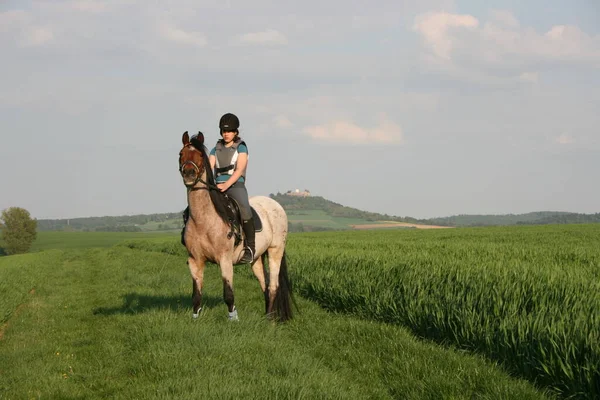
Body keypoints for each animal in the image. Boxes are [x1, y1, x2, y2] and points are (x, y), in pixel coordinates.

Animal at [177, 131, 294, 322]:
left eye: (200, 155)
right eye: (181, 154)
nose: (189, 174)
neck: (203, 220)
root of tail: (276, 205)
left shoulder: (225, 260)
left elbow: (228, 293)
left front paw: (233, 318)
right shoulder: (195, 260)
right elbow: (196, 294)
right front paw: (195, 318)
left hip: (275, 250)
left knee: (273, 286)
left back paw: (270, 320)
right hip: (256, 258)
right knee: (265, 284)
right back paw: (267, 315)